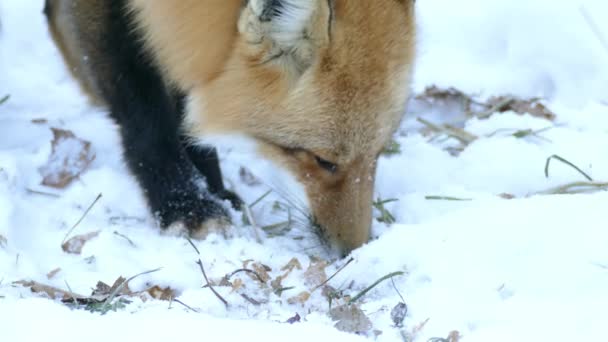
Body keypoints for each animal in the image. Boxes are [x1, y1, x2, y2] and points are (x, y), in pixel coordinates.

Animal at [45, 0, 418, 255]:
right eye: (324, 161)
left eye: (379, 153)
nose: (353, 252)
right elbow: (146, 115)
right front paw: (185, 204)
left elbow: (186, 109)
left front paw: (214, 188)